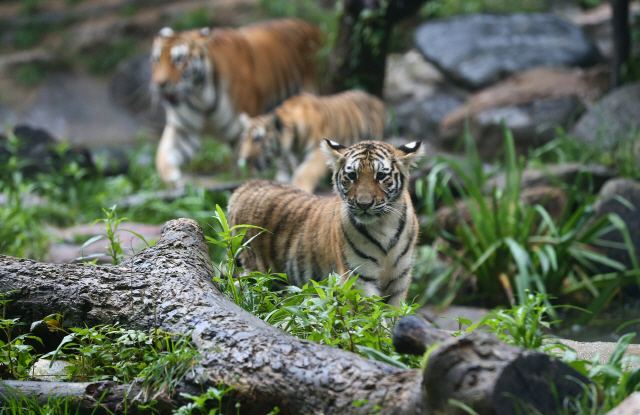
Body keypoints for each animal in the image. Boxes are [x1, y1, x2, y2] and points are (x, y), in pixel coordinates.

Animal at [149, 19, 320, 185]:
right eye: (156, 60)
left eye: (179, 59)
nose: (160, 84)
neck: (200, 97)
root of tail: (313, 26)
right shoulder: (184, 130)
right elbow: (163, 156)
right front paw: (173, 181)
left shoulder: (242, 131)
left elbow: (243, 170)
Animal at [228, 139, 422, 306]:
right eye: (352, 176)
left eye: (380, 175)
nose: (364, 204)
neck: (383, 225)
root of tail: (247, 186)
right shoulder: (359, 278)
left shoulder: (399, 280)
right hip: (260, 277)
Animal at [238, 90, 382, 194]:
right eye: (244, 139)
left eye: (258, 139)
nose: (245, 159)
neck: (291, 145)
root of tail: (376, 98)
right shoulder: (285, 162)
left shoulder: (318, 154)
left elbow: (305, 173)